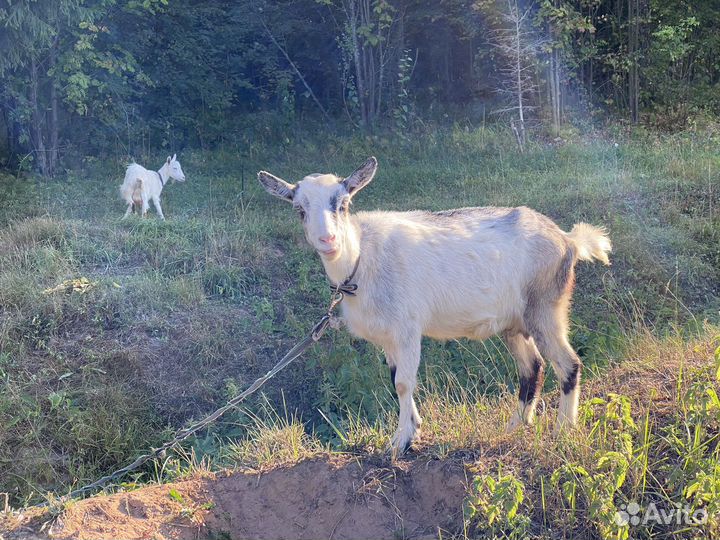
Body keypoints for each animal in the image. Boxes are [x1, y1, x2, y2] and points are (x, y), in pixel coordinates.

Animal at [258, 157, 611, 453]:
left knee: (568, 364)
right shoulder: (388, 337)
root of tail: (568, 240)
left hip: (546, 307)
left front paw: (400, 442)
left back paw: (564, 430)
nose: (328, 241)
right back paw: (515, 426)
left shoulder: (407, 327)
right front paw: (413, 428)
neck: (362, 260)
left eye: (343, 205)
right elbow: (396, 380)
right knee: (532, 367)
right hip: (514, 323)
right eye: (299, 210)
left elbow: (403, 383)